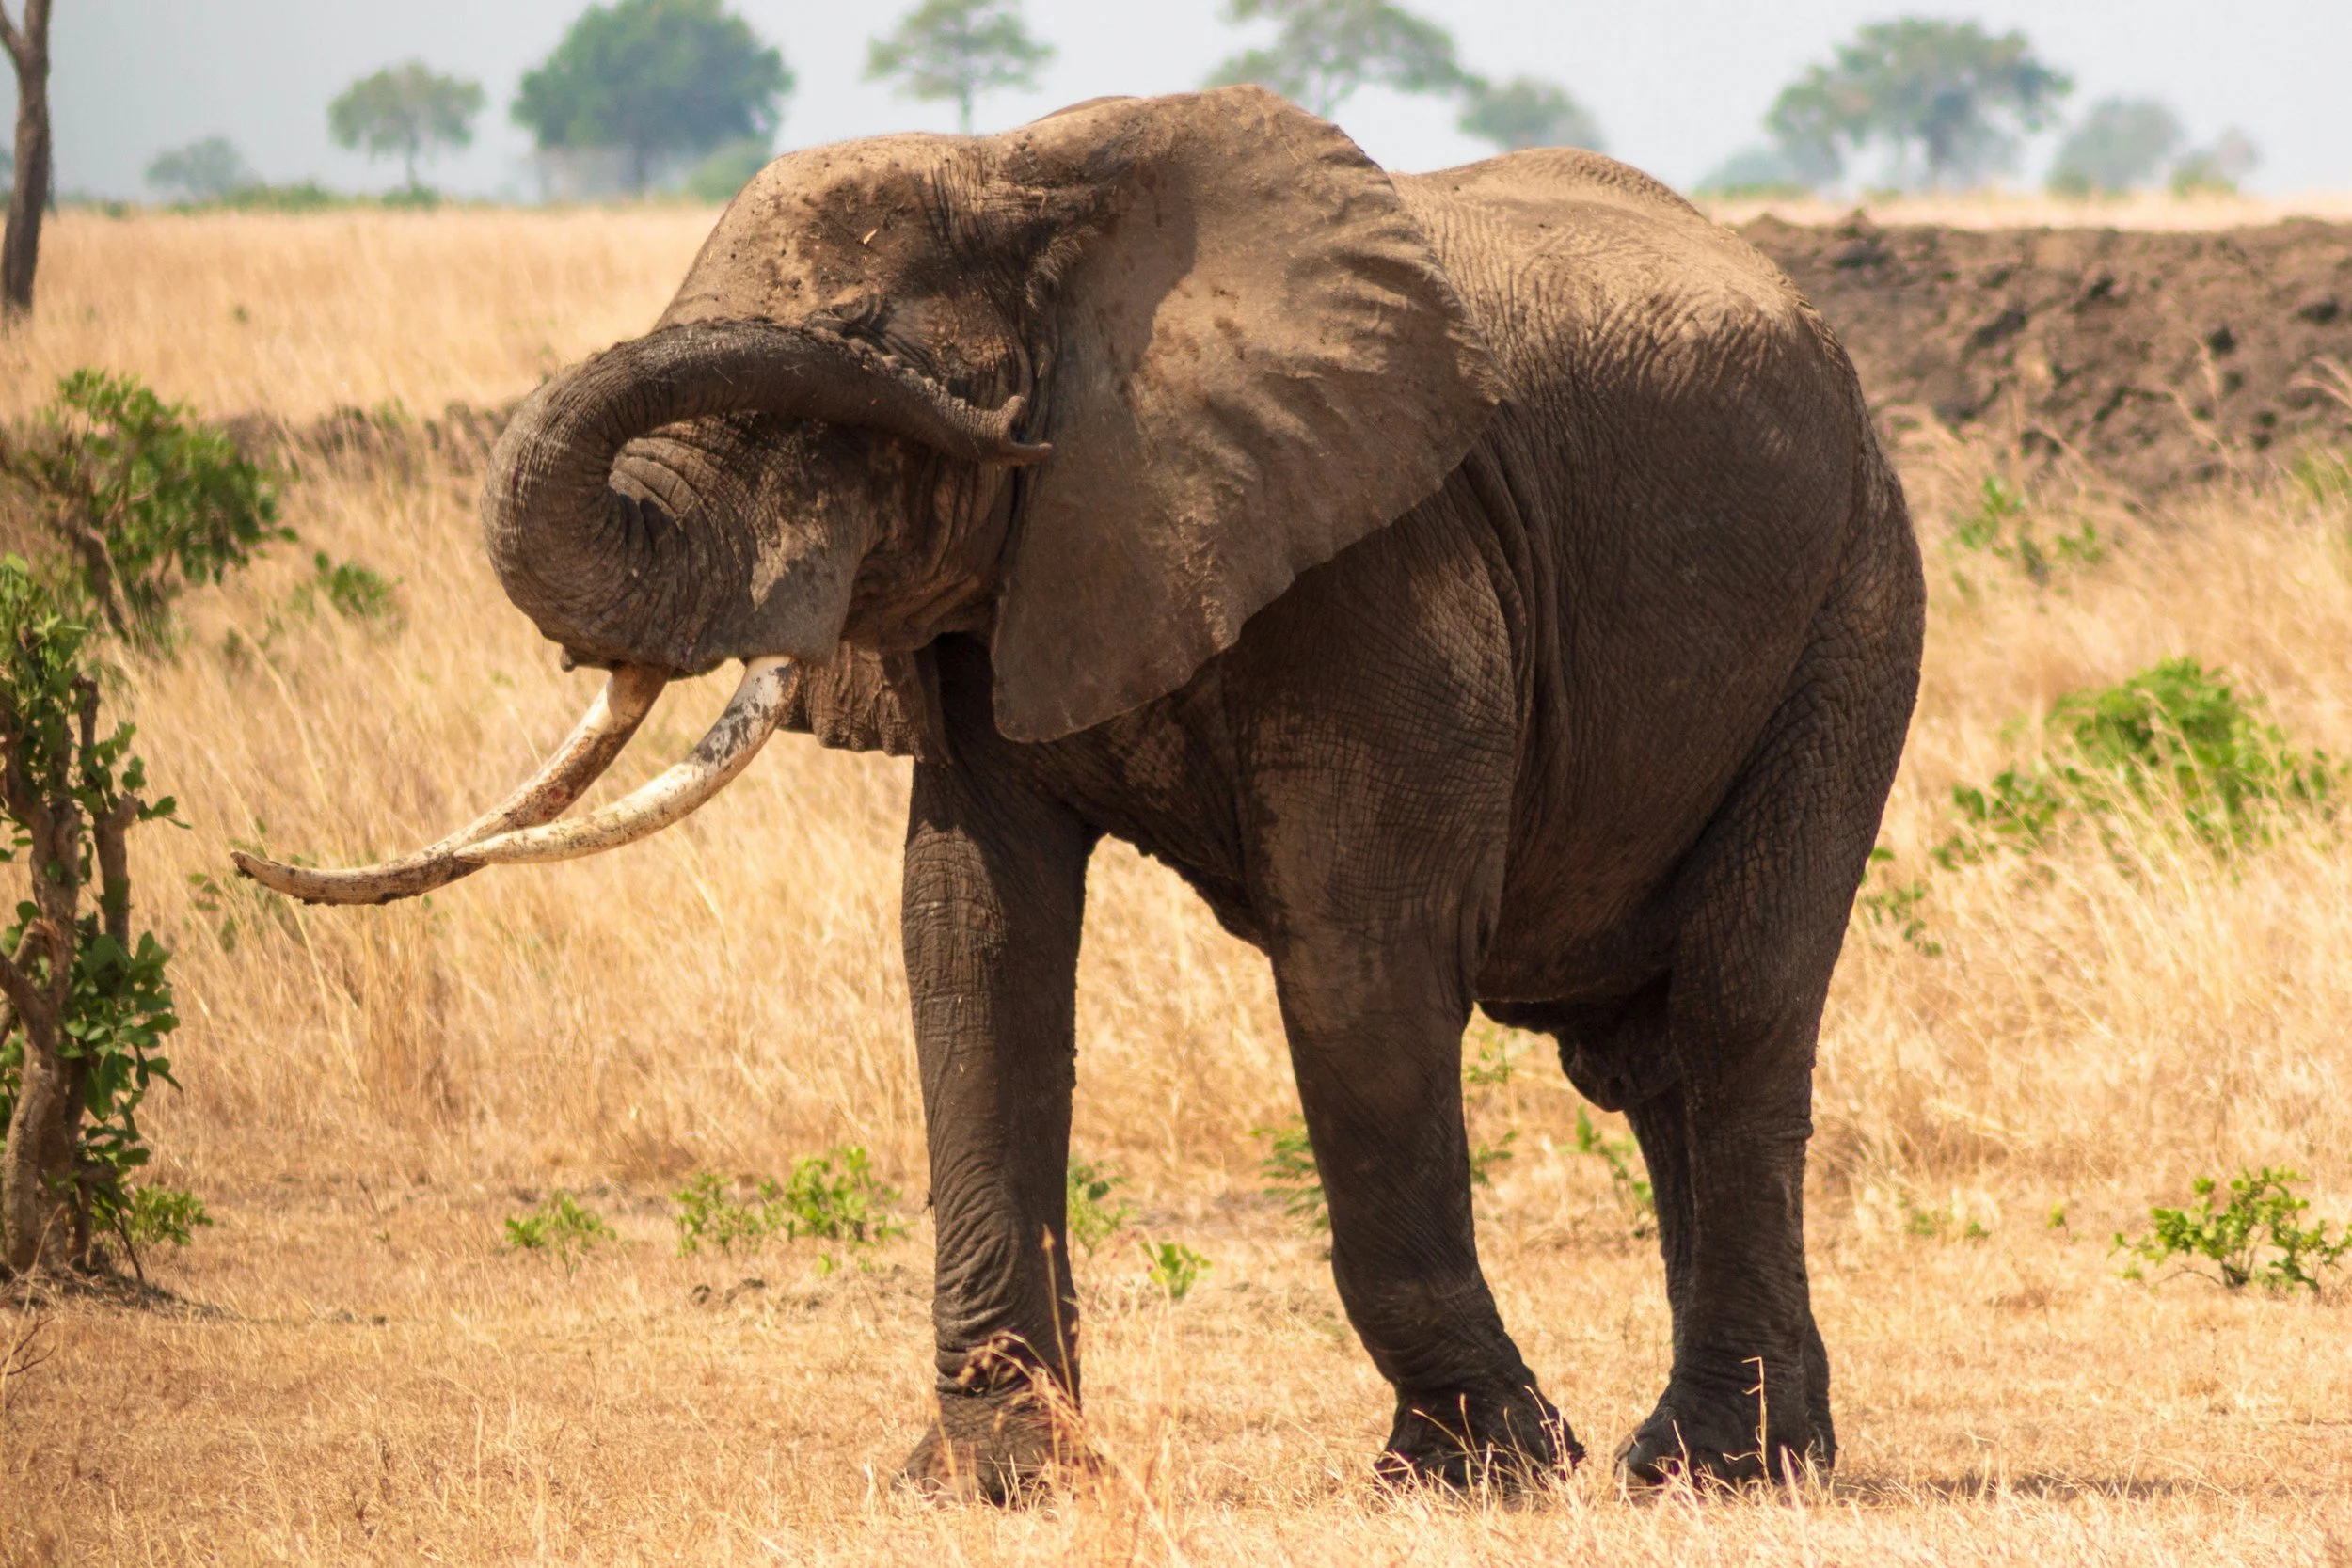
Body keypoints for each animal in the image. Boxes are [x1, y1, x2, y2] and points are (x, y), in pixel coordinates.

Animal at [240, 87, 1924, 1495]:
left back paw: (1716, 1464)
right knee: (1645, 1057)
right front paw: (994, 1478)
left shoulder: (1391, 556)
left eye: (862, 348)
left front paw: (1482, 1467)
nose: (990, 422)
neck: (1029, 178)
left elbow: (1361, 961)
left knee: (1732, 1007)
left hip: (1853, 607)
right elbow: (972, 943)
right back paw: (1720, 1451)